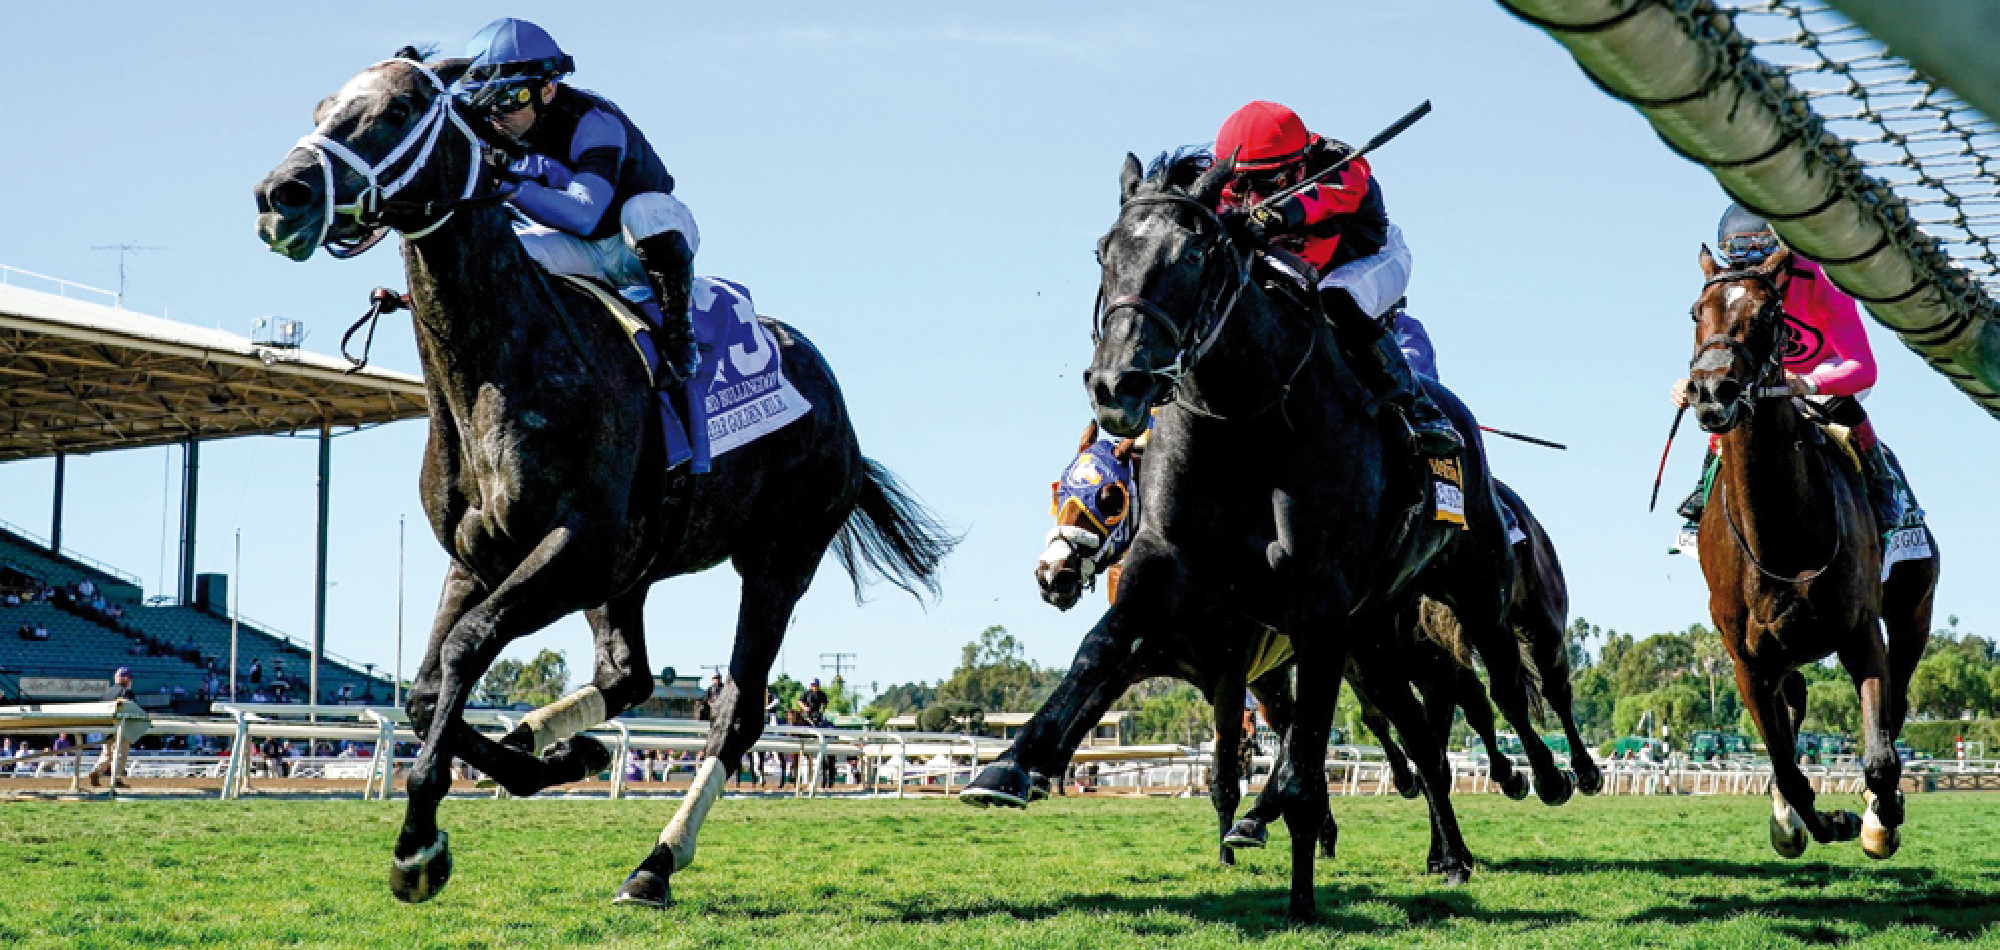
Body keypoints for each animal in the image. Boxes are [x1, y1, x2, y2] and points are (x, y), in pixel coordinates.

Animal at [252, 50, 952, 908]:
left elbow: (466, 649)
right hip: (632, 572)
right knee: (628, 675)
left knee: (737, 713)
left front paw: (418, 843)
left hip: (777, 562)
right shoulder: (479, 556)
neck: (498, 368)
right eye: (323, 107)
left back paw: (656, 862)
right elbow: (423, 690)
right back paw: (553, 744)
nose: (280, 195)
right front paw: (542, 760)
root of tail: (832, 399)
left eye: (398, 109)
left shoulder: (574, 546)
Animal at [964, 154, 1560, 924]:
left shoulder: (1309, 609)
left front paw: (1299, 891)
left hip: (1475, 586)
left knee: (1508, 687)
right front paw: (1010, 766)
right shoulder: (1178, 590)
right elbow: (1103, 658)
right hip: (1374, 636)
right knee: (1425, 740)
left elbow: (1297, 761)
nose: (1117, 381)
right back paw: (1450, 853)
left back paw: (1547, 777)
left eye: (1192, 255)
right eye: (1104, 252)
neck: (1245, 420)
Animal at [1688, 245, 1936, 864]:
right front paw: (1813, 821)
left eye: (1767, 315)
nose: (1710, 391)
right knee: (1794, 706)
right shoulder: (1747, 660)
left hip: (1913, 612)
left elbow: (1880, 755)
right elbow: (1787, 767)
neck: (1780, 531)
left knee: (1895, 704)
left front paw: (1877, 820)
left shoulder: (1860, 633)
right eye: (1696, 312)